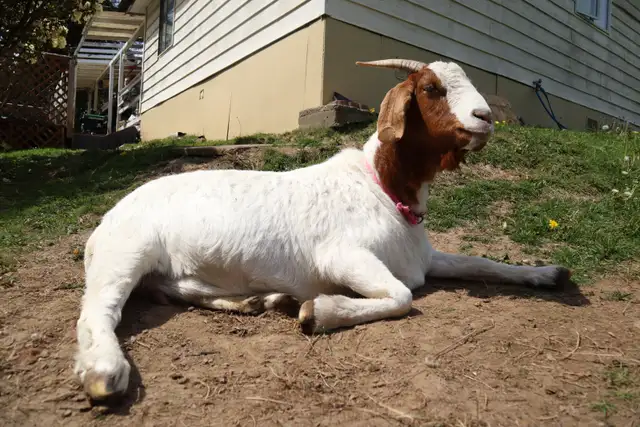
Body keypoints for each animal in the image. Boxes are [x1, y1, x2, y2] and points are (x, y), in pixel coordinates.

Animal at [74, 58, 571, 402]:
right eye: (431, 88)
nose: (486, 118)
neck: (381, 188)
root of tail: (107, 218)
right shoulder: (343, 256)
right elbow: (401, 297)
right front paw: (321, 311)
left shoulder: (425, 258)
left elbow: (479, 261)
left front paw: (546, 273)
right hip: (127, 251)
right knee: (99, 309)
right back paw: (103, 371)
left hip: (173, 272)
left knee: (178, 289)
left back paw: (259, 301)